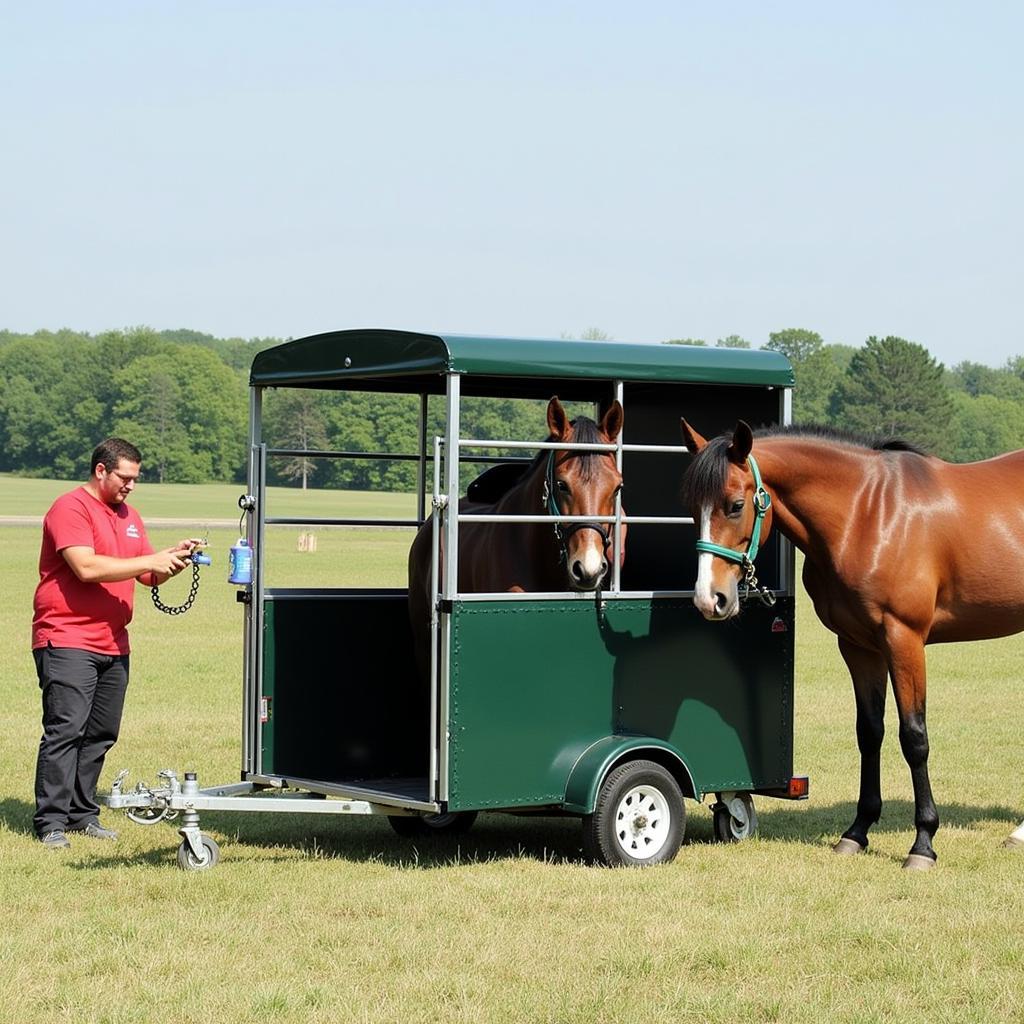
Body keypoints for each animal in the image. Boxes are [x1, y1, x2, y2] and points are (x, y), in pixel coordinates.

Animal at [679, 419, 1024, 868]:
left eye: (735, 505)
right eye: (692, 507)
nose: (709, 599)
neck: (867, 515)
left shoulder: (904, 639)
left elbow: (914, 737)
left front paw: (923, 843)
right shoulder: (858, 646)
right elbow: (869, 732)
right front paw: (857, 832)